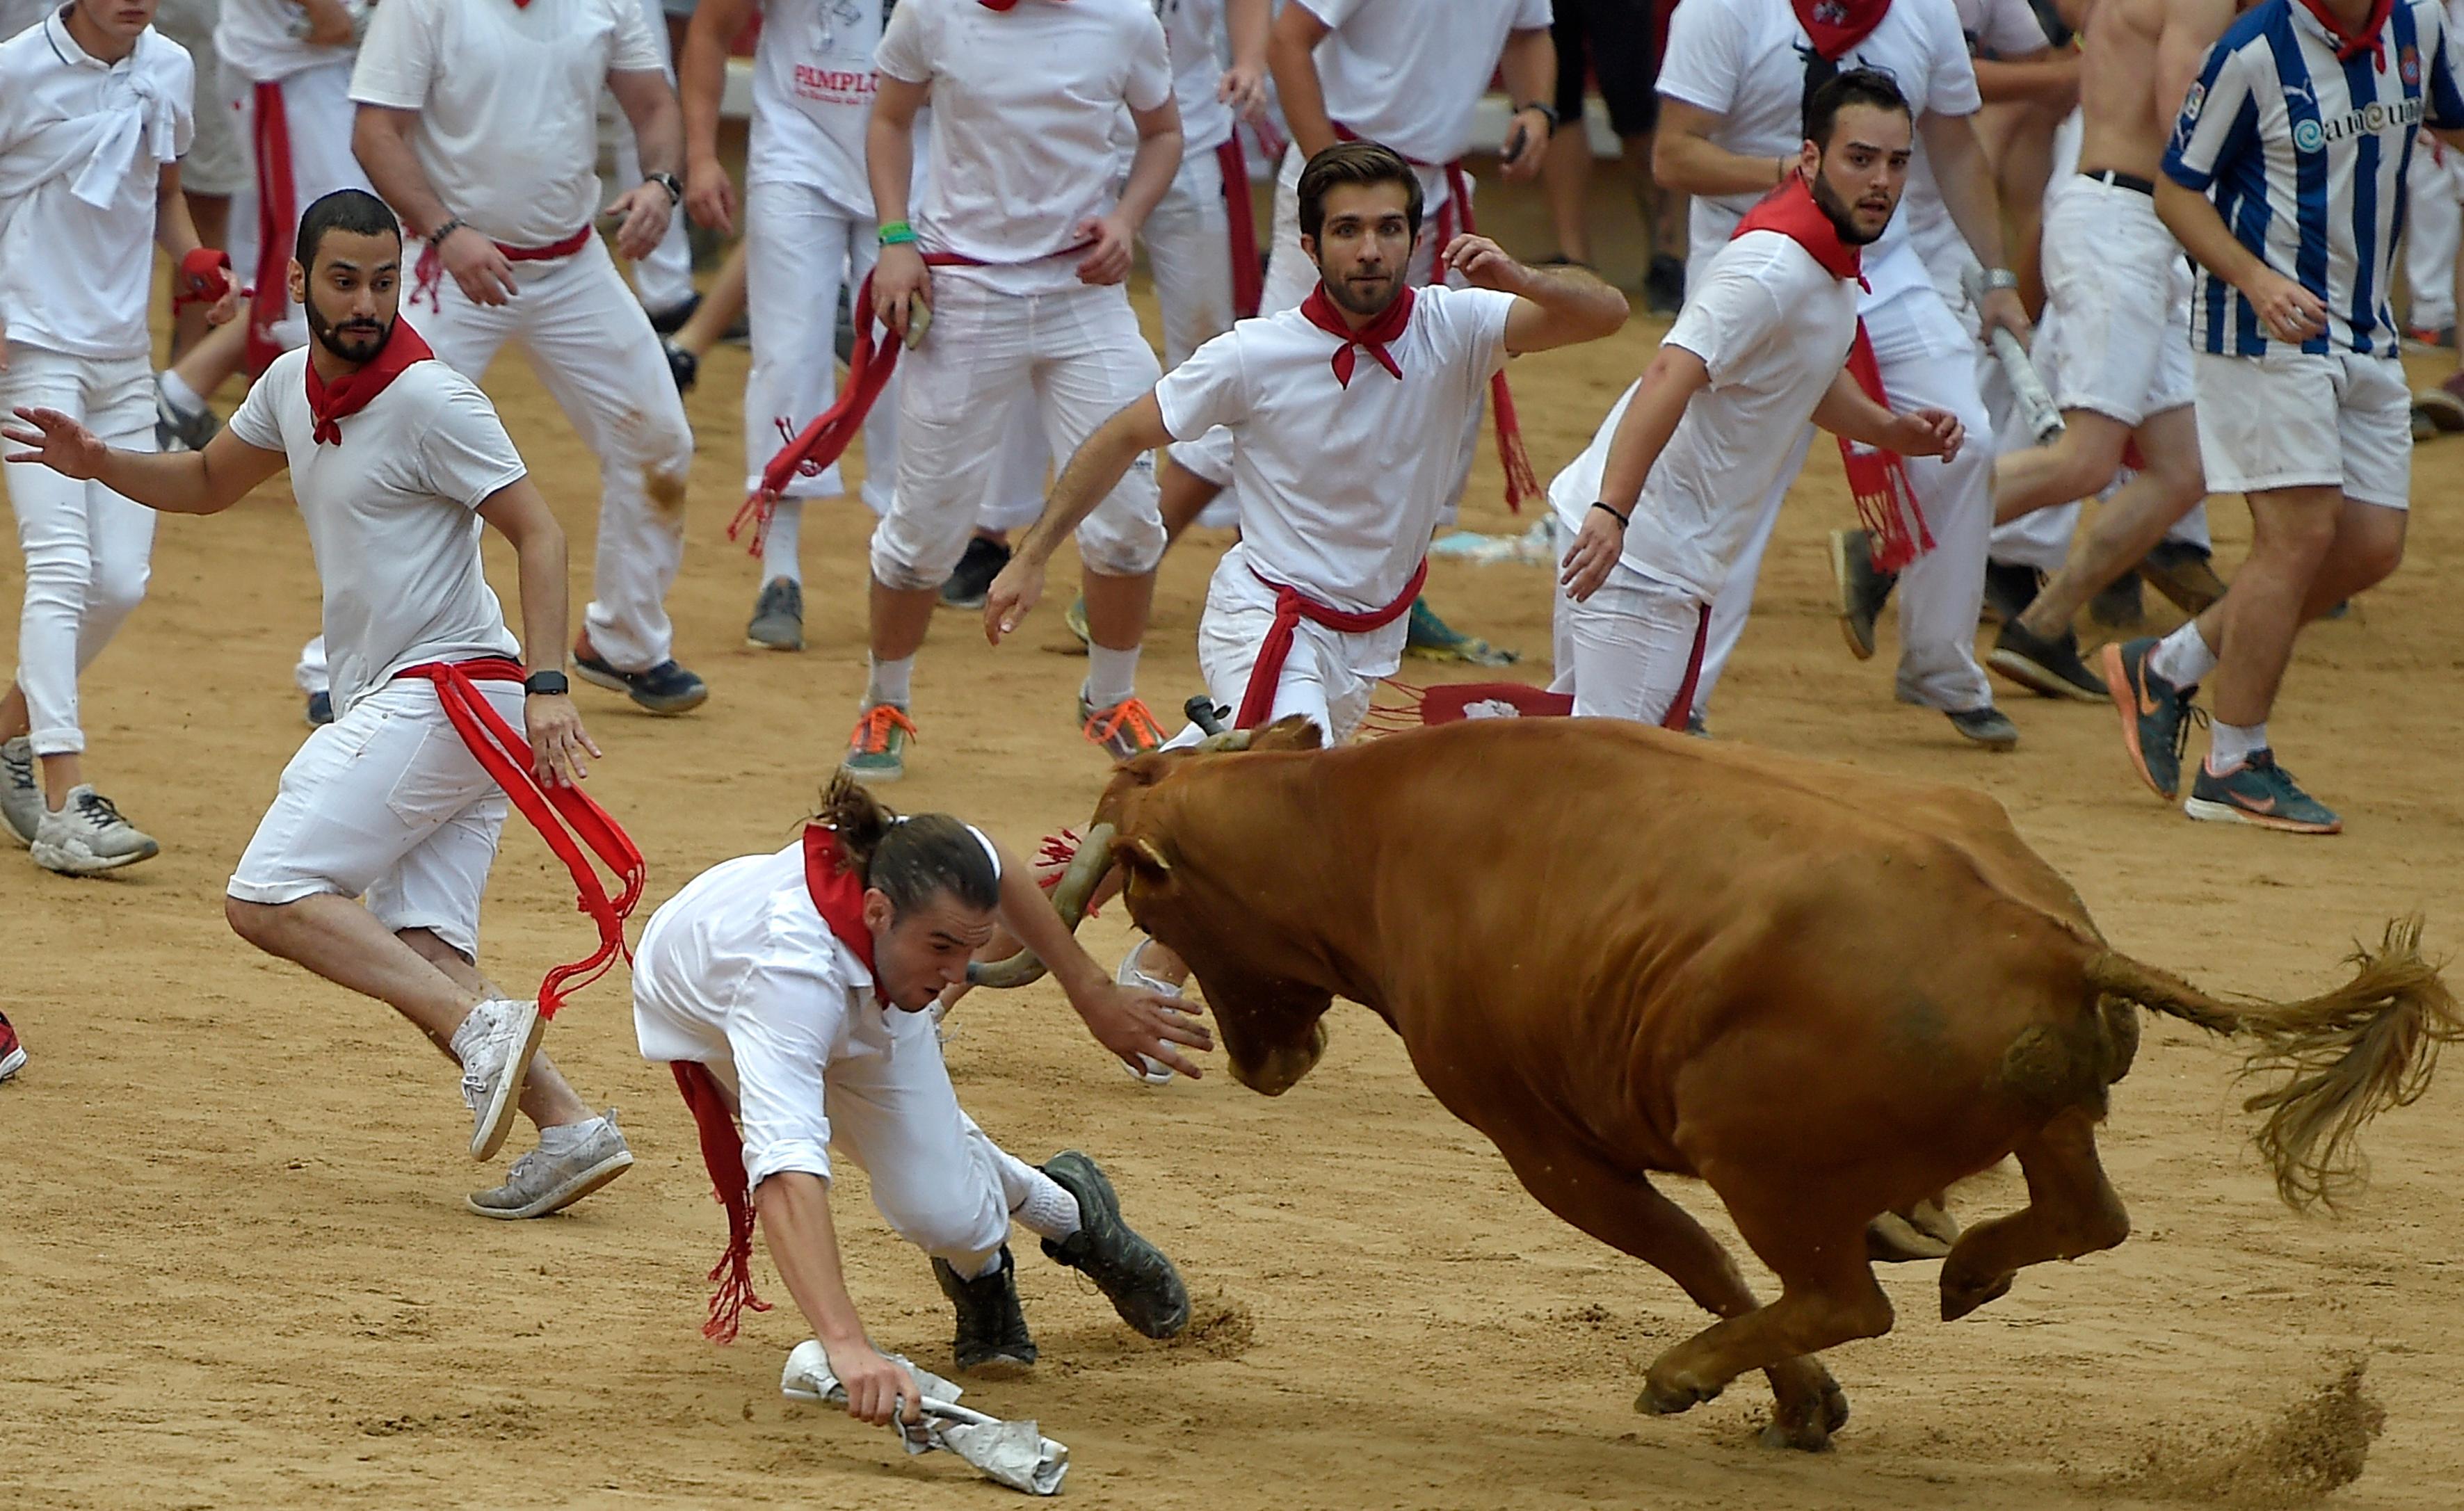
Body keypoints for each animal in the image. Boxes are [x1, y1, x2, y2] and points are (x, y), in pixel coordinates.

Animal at [976, 715, 2444, 1449]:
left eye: (1162, 901)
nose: (1266, 1058)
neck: (1366, 828)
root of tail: (2050, 935)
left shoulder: (1535, 1136)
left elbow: (1690, 1256)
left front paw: (1785, 1397)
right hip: (2045, 1121)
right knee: (2083, 1214)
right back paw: (1968, 1264)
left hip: (1753, 1148)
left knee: (1840, 1293)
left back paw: (1695, 1374)